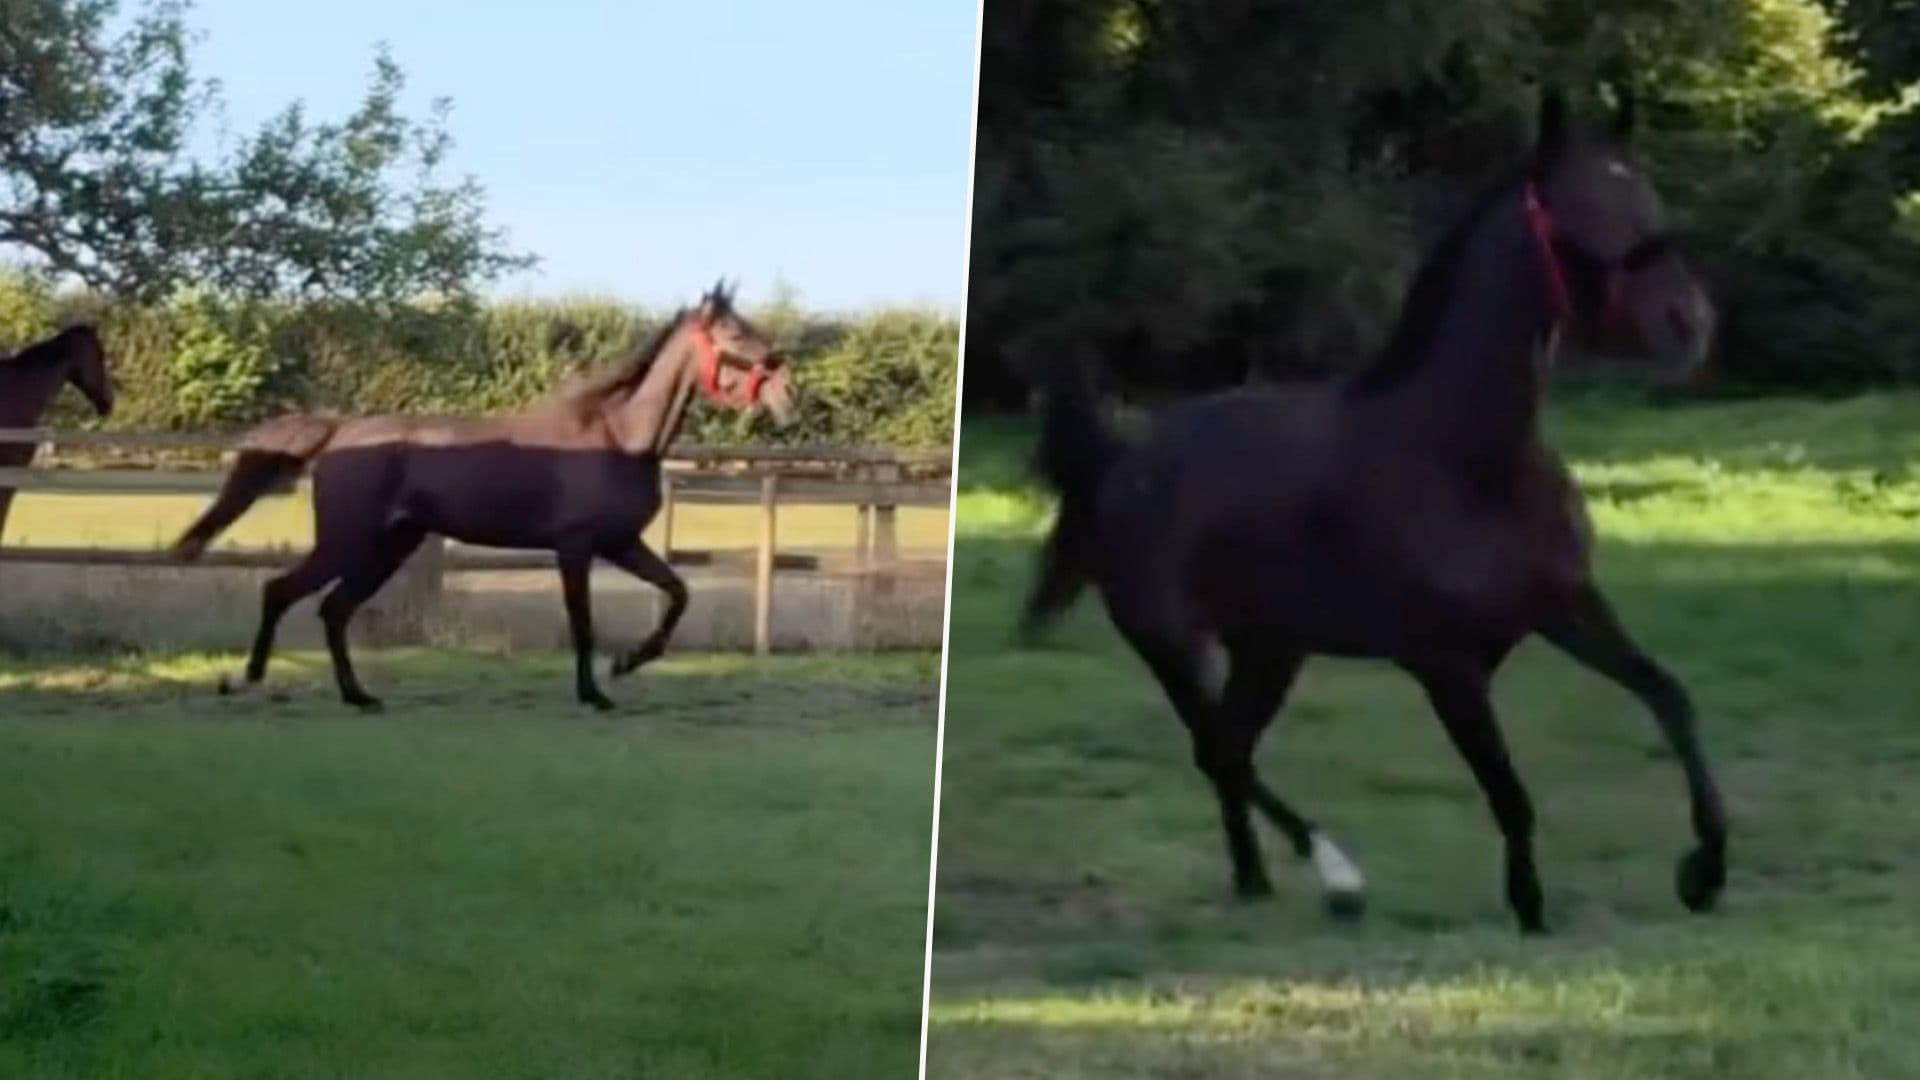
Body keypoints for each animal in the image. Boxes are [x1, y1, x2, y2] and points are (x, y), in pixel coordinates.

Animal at [174, 281, 795, 712]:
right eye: (734, 335)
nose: (784, 382)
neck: (618, 435)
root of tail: (340, 431)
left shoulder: (620, 543)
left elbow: (678, 593)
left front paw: (626, 664)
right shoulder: (576, 547)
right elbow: (583, 620)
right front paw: (596, 692)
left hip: (391, 545)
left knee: (333, 609)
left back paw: (359, 696)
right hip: (349, 539)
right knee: (283, 591)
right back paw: (251, 678)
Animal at [1021, 90, 1725, 934]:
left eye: (1646, 199)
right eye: (1574, 218)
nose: (1690, 324)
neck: (1462, 461)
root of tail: (1119, 459)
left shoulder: (1568, 609)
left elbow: (1671, 700)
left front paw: (1704, 874)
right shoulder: (1446, 665)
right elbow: (1511, 795)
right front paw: (1531, 911)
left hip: (1270, 648)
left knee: (1230, 749)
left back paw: (1256, 881)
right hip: (1170, 643)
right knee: (1218, 749)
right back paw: (1337, 876)